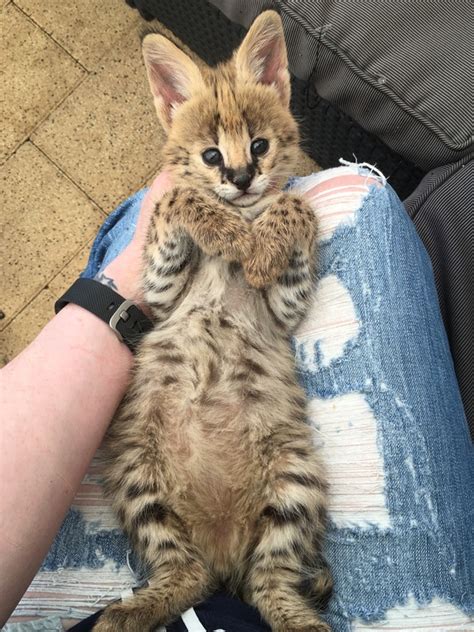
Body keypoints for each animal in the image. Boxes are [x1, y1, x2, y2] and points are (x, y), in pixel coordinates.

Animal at [95, 11, 334, 632]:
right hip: (140, 477)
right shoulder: (157, 293)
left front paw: (263, 242)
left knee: (265, 582)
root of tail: (222, 539)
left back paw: (301, 619)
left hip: (293, 479)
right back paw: (135, 610)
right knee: (191, 574)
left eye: (259, 145)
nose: (243, 176)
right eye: (209, 155)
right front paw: (226, 230)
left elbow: (298, 206)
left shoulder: (284, 312)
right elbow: (175, 201)